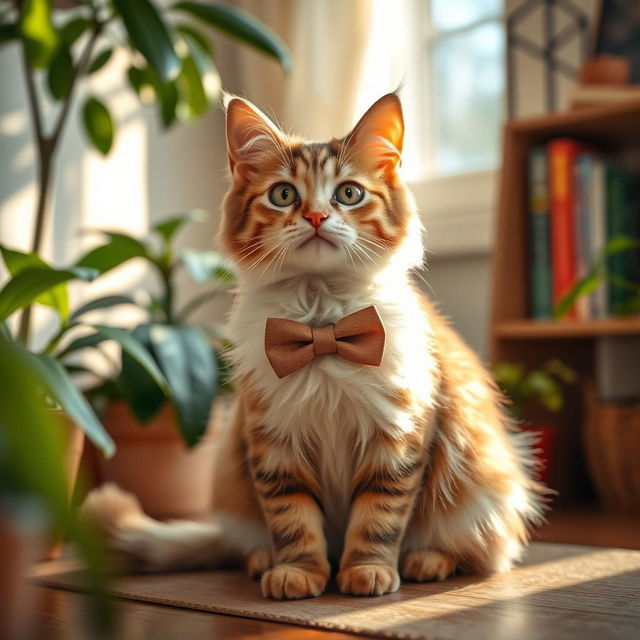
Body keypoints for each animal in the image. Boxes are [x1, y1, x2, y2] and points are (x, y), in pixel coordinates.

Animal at [84, 94, 544, 600]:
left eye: (349, 194)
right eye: (284, 195)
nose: (317, 217)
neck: (322, 328)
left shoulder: (399, 437)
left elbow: (379, 516)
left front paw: (366, 570)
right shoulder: (273, 440)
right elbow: (293, 519)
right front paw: (299, 572)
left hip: (481, 489)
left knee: (472, 552)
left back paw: (428, 561)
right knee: (246, 542)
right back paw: (263, 559)